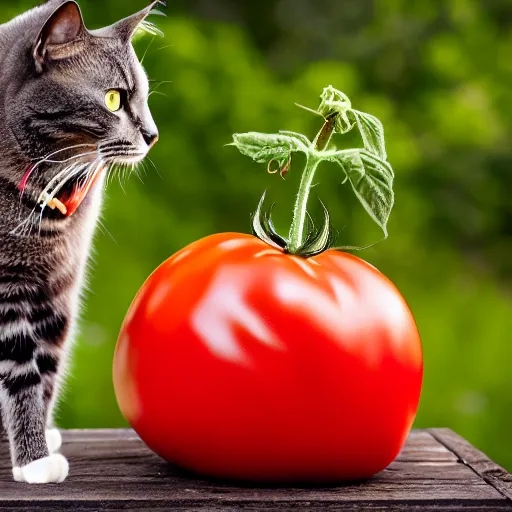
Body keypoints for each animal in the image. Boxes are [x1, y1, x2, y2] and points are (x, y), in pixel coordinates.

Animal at [0, 0, 160, 482]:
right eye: (114, 99)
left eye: (145, 96)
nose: (153, 135)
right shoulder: (8, 290)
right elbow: (21, 370)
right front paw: (33, 460)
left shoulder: (58, 288)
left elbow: (49, 365)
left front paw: (38, 438)